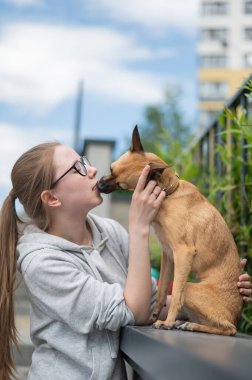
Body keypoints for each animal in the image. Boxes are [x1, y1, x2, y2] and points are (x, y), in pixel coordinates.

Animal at [97, 126, 243, 334]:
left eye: (121, 185)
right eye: (111, 169)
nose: (98, 185)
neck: (169, 194)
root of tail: (237, 314)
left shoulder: (183, 254)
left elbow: (175, 297)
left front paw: (167, 322)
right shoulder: (169, 257)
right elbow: (161, 292)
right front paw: (155, 316)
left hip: (191, 288)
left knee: (229, 329)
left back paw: (192, 325)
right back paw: (191, 323)